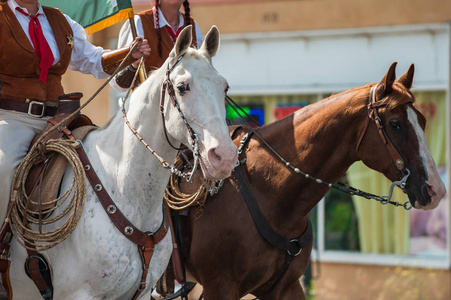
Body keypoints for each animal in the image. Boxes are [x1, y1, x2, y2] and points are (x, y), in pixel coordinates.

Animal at [8, 24, 238, 298]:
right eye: (183, 86)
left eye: (224, 87)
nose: (224, 156)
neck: (122, 187)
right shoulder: (78, 293)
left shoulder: (142, 292)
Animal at [174, 62, 448, 298]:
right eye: (395, 124)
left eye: (423, 121)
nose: (436, 189)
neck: (267, 191)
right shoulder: (220, 287)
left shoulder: (286, 287)